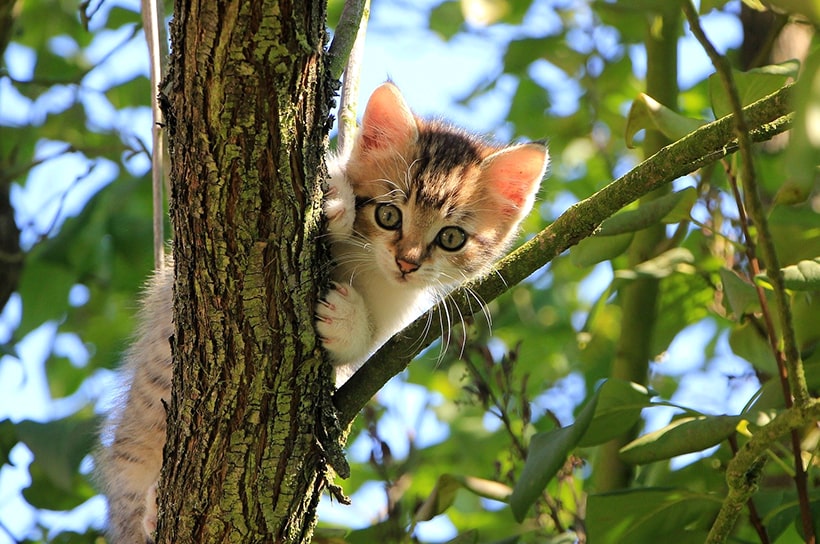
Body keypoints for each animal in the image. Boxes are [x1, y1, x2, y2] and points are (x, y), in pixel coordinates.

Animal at [99, 82, 552, 544]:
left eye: (451, 238)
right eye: (388, 214)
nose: (407, 262)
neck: (368, 267)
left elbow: (362, 347)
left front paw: (346, 319)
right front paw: (336, 200)